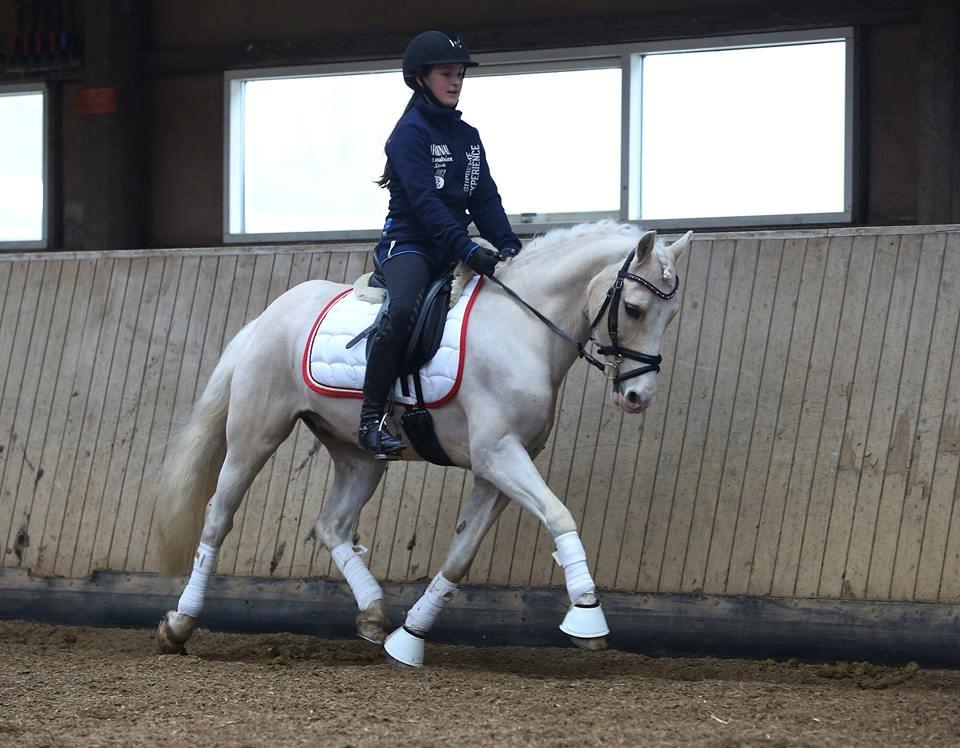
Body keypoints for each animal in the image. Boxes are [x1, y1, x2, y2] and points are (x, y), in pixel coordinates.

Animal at [158, 222, 688, 668]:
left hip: (359, 456)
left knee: (332, 525)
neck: (522, 330)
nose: (638, 397)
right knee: (218, 516)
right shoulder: (499, 454)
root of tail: (269, 315)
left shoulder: (498, 470)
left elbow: (461, 554)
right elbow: (560, 515)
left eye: (671, 314)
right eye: (635, 309)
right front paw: (587, 612)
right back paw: (179, 625)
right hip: (256, 433)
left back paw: (374, 615)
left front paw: (409, 638)